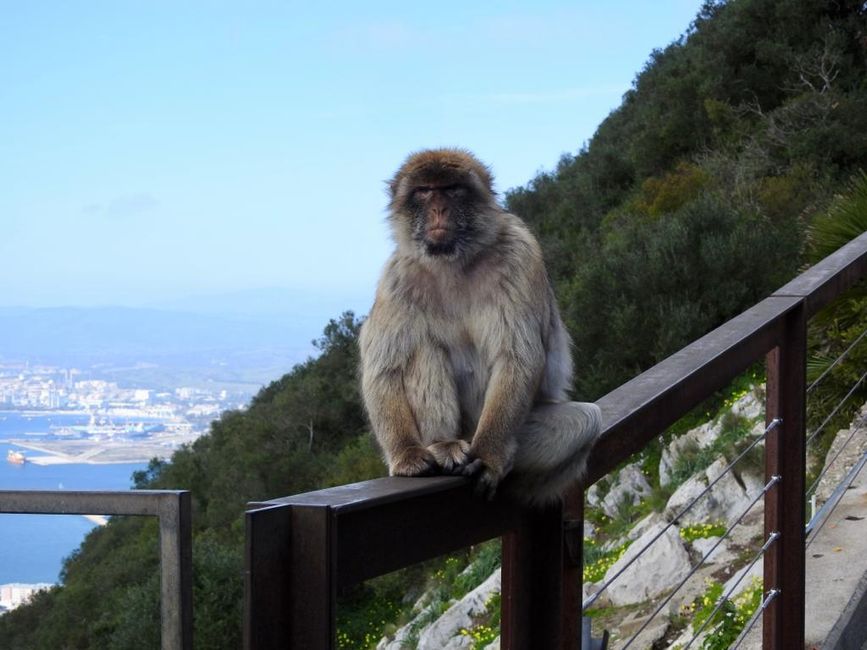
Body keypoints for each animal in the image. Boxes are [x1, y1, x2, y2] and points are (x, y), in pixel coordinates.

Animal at [360, 147, 604, 502]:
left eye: (451, 189)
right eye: (424, 191)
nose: (438, 209)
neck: (452, 262)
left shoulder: (519, 255)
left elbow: (517, 357)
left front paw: (488, 457)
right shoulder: (397, 278)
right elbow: (385, 370)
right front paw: (406, 453)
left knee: (586, 420)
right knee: (423, 351)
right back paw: (443, 444)